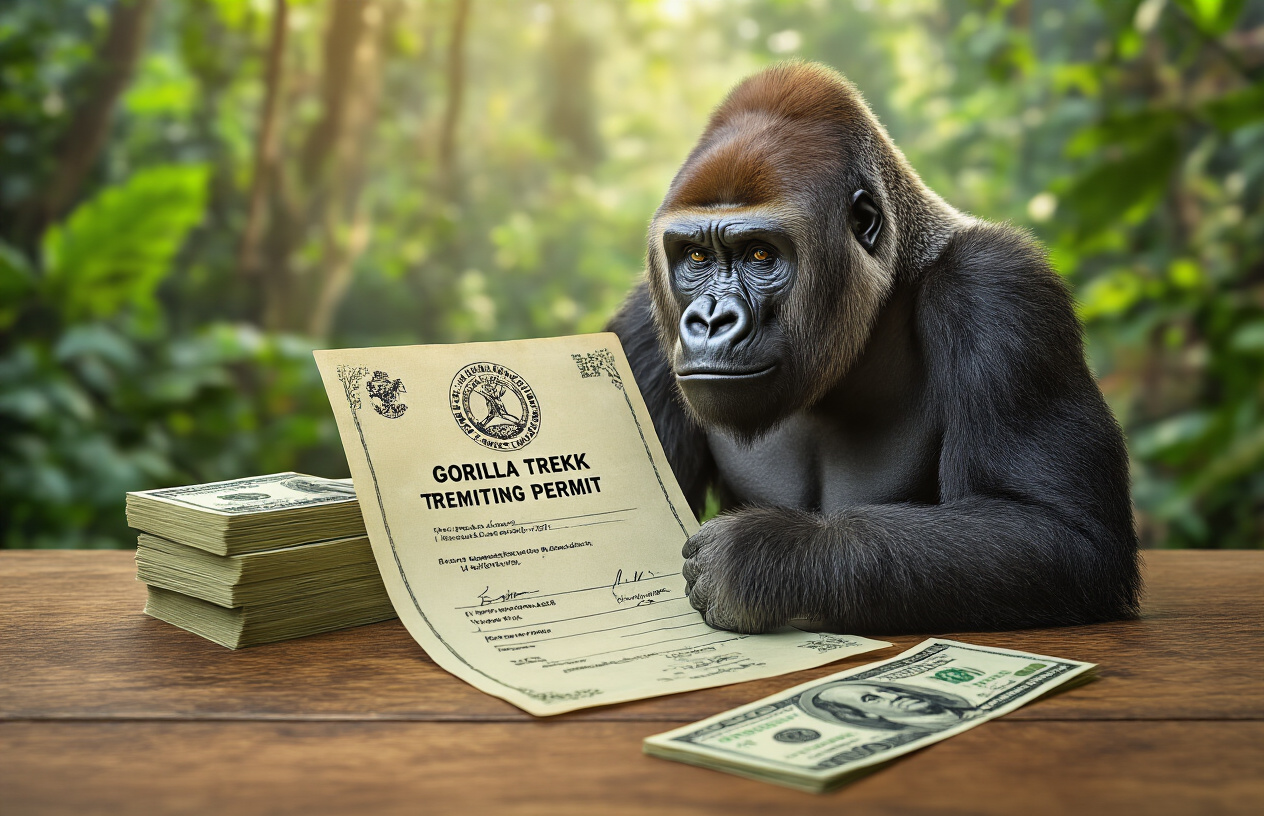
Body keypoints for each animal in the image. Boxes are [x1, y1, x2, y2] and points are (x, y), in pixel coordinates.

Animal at [608, 62, 1141, 635]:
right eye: (696, 257)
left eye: (760, 254)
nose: (710, 321)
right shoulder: (640, 327)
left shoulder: (999, 287)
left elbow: (1061, 533)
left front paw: (765, 558)